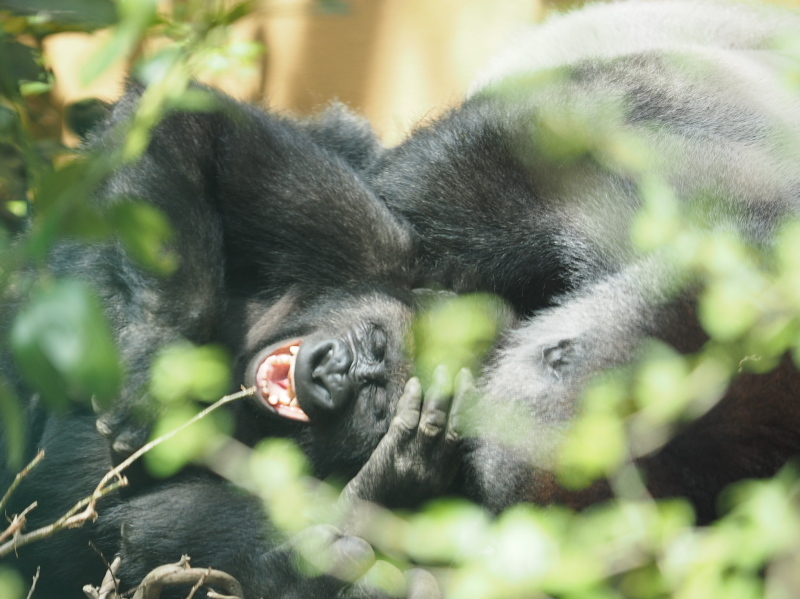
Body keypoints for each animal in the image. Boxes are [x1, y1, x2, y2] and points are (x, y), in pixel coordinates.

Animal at [0, 84, 460, 599]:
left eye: (377, 404)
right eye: (376, 344)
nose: (334, 372)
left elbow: (146, 527)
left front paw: (387, 485)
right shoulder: (373, 250)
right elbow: (198, 127)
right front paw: (157, 360)